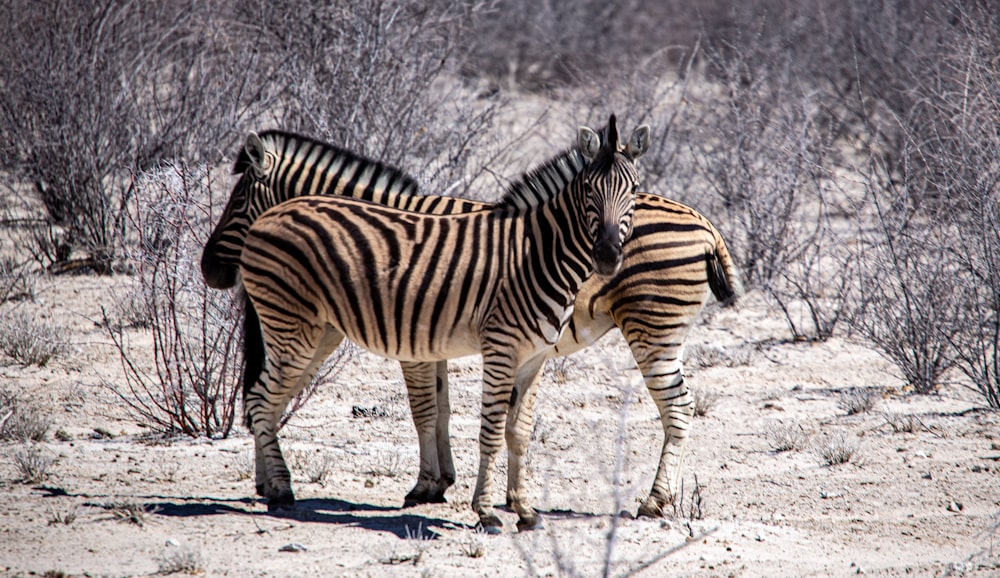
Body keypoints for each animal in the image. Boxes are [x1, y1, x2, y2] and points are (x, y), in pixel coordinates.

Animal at [201, 121, 744, 516]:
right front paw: (441, 482)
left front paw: (429, 486)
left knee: (678, 408)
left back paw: (655, 501)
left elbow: (425, 410)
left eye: (238, 200)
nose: (210, 271)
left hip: (654, 329)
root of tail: (705, 222)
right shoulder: (430, 334)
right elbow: (440, 409)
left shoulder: (415, 337)